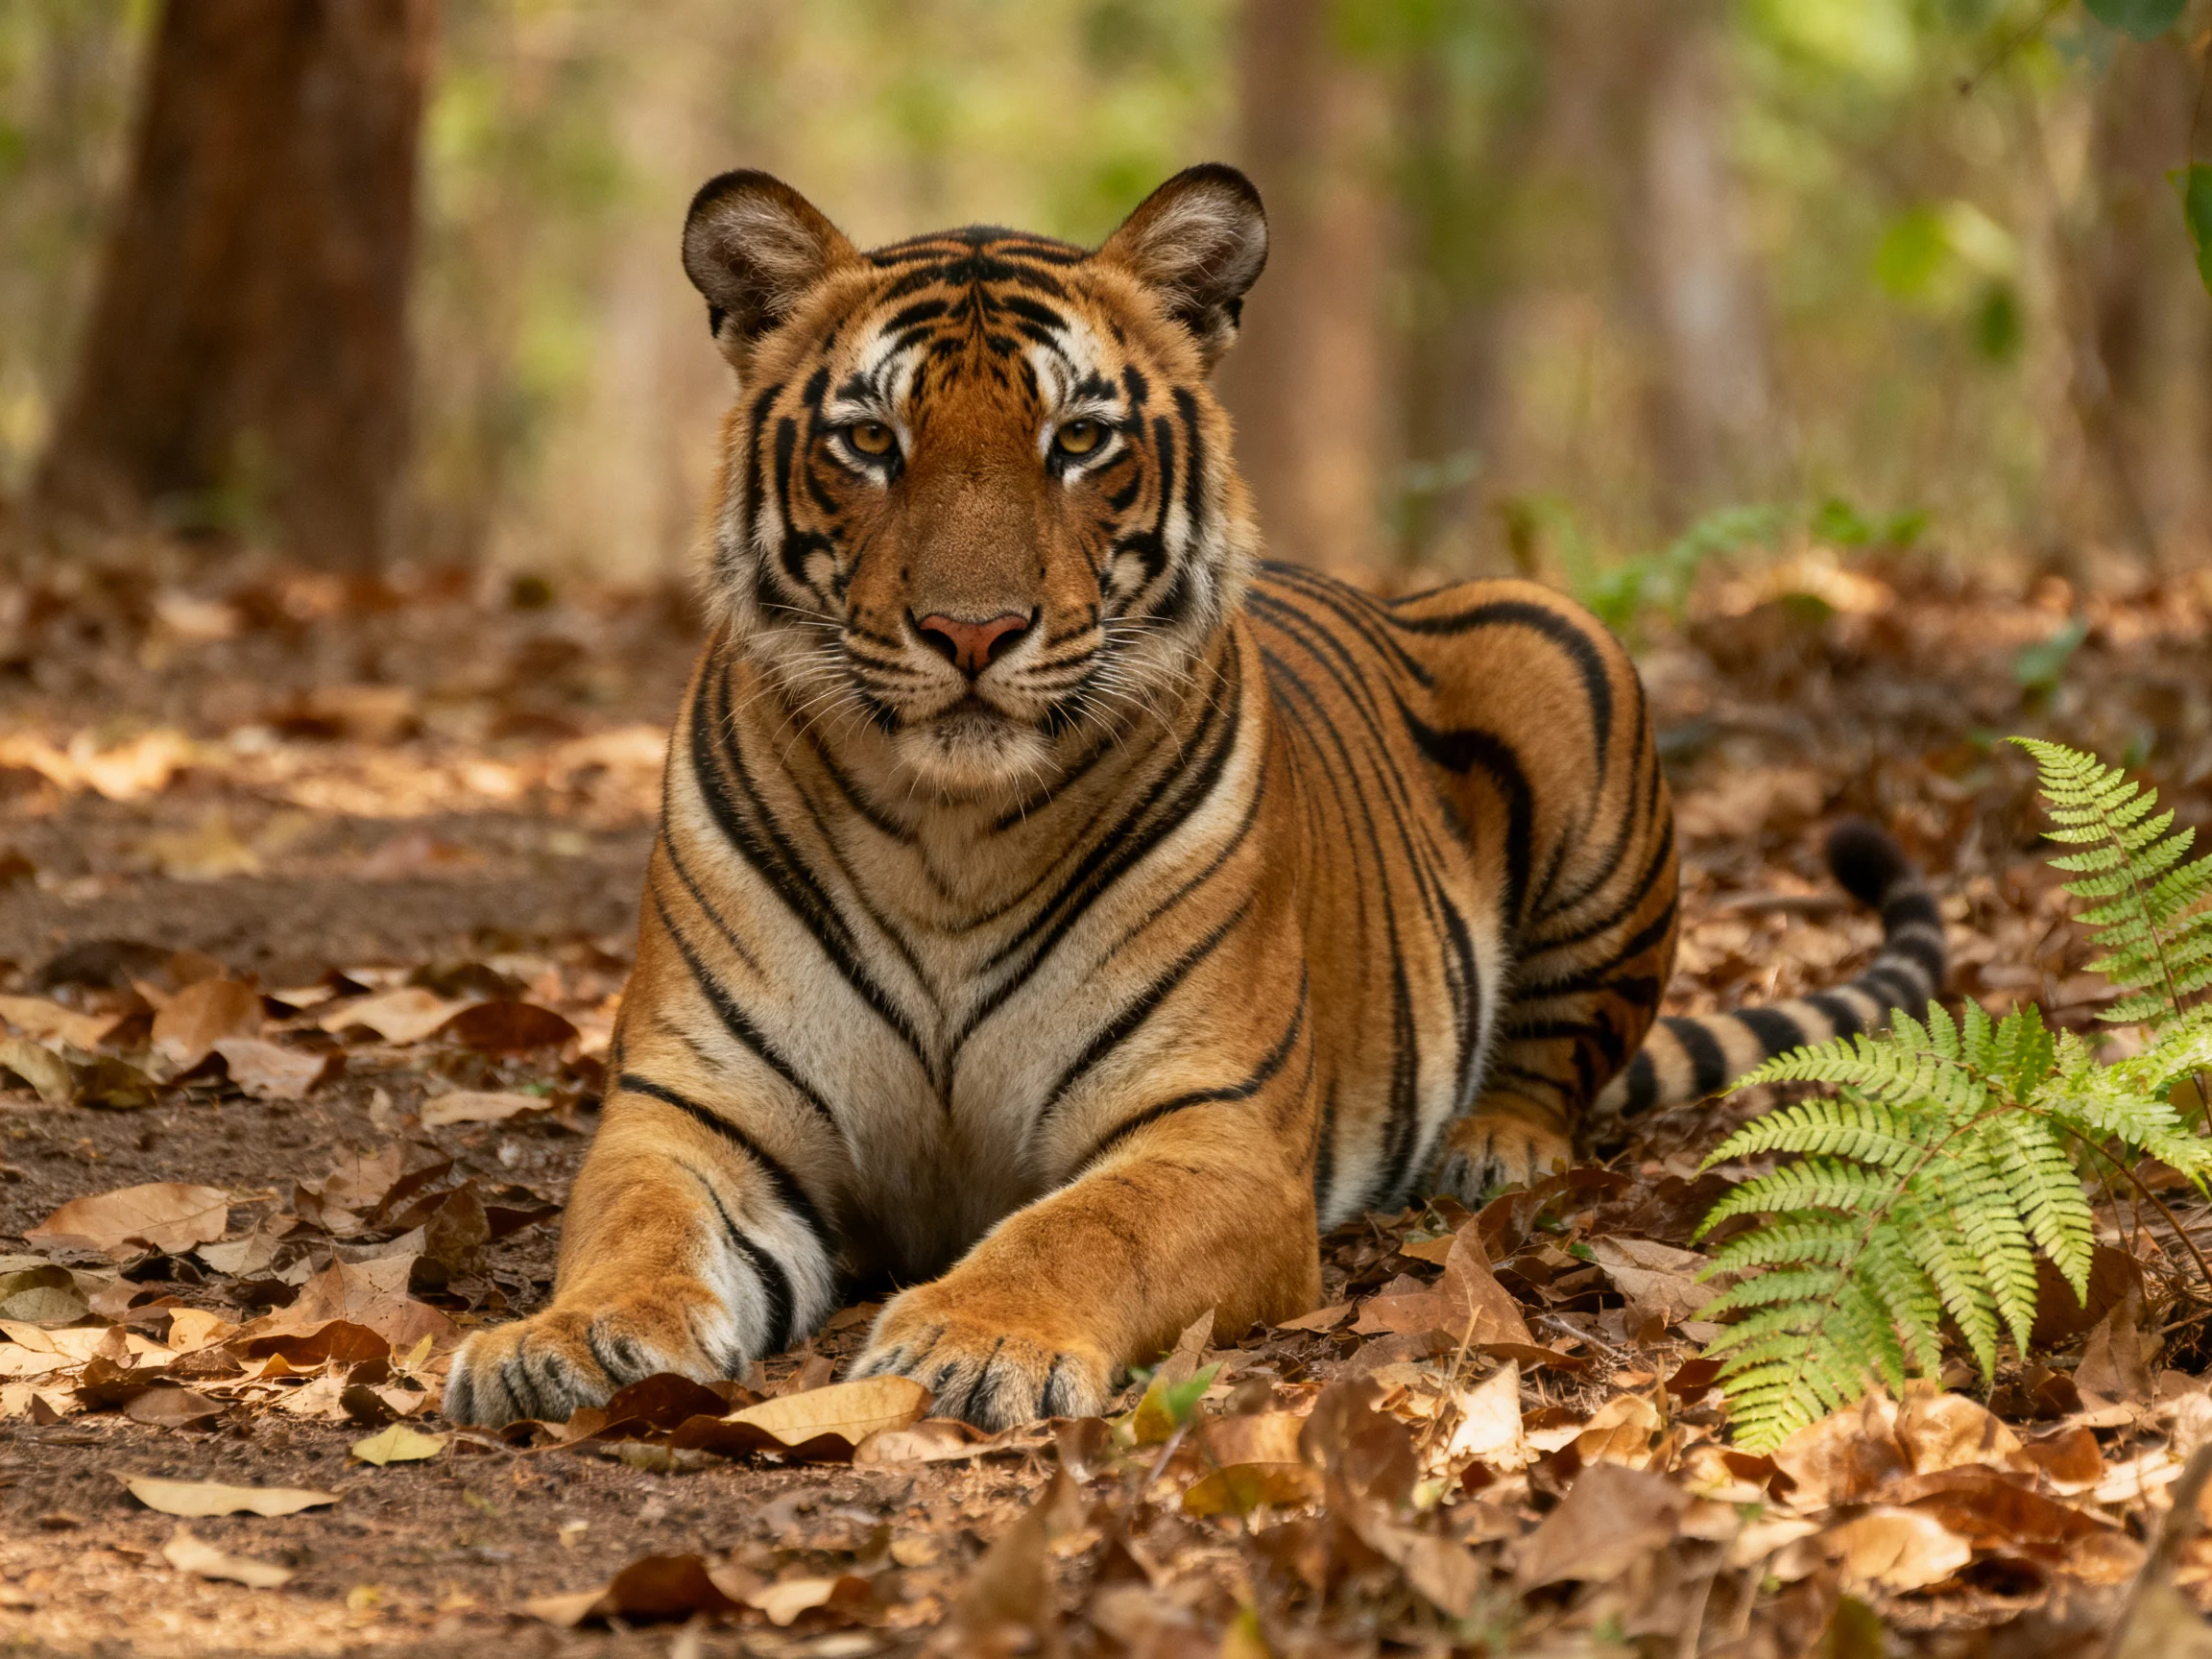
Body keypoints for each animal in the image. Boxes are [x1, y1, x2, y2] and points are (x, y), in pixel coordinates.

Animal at [443, 165, 1946, 1430]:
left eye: (1078, 438)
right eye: (869, 439)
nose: (973, 632)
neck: (946, 838)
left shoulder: (1210, 1127)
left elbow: (1081, 1226)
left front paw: (975, 1337)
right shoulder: (696, 1110)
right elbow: (633, 1227)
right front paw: (563, 1341)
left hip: (1564, 651)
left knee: (1557, 1055)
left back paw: (1490, 1150)